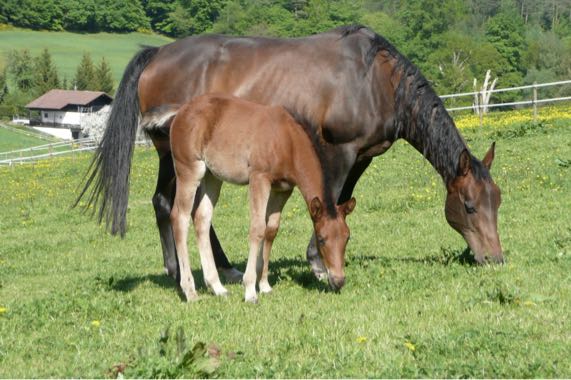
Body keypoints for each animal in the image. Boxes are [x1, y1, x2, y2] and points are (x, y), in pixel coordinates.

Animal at [165, 95, 356, 302]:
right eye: (321, 239)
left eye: (347, 238)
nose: (338, 281)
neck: (288, 141)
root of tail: (181, 112)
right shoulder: (259, 178)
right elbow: (257, 228)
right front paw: (250, 289)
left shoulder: (282, 189)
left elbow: (271, 230)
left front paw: (264, 285)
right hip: (190, 170)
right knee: (179, 217)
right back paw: (190, 291)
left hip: (212, 176)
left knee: (202, 218)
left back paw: (217, 287)